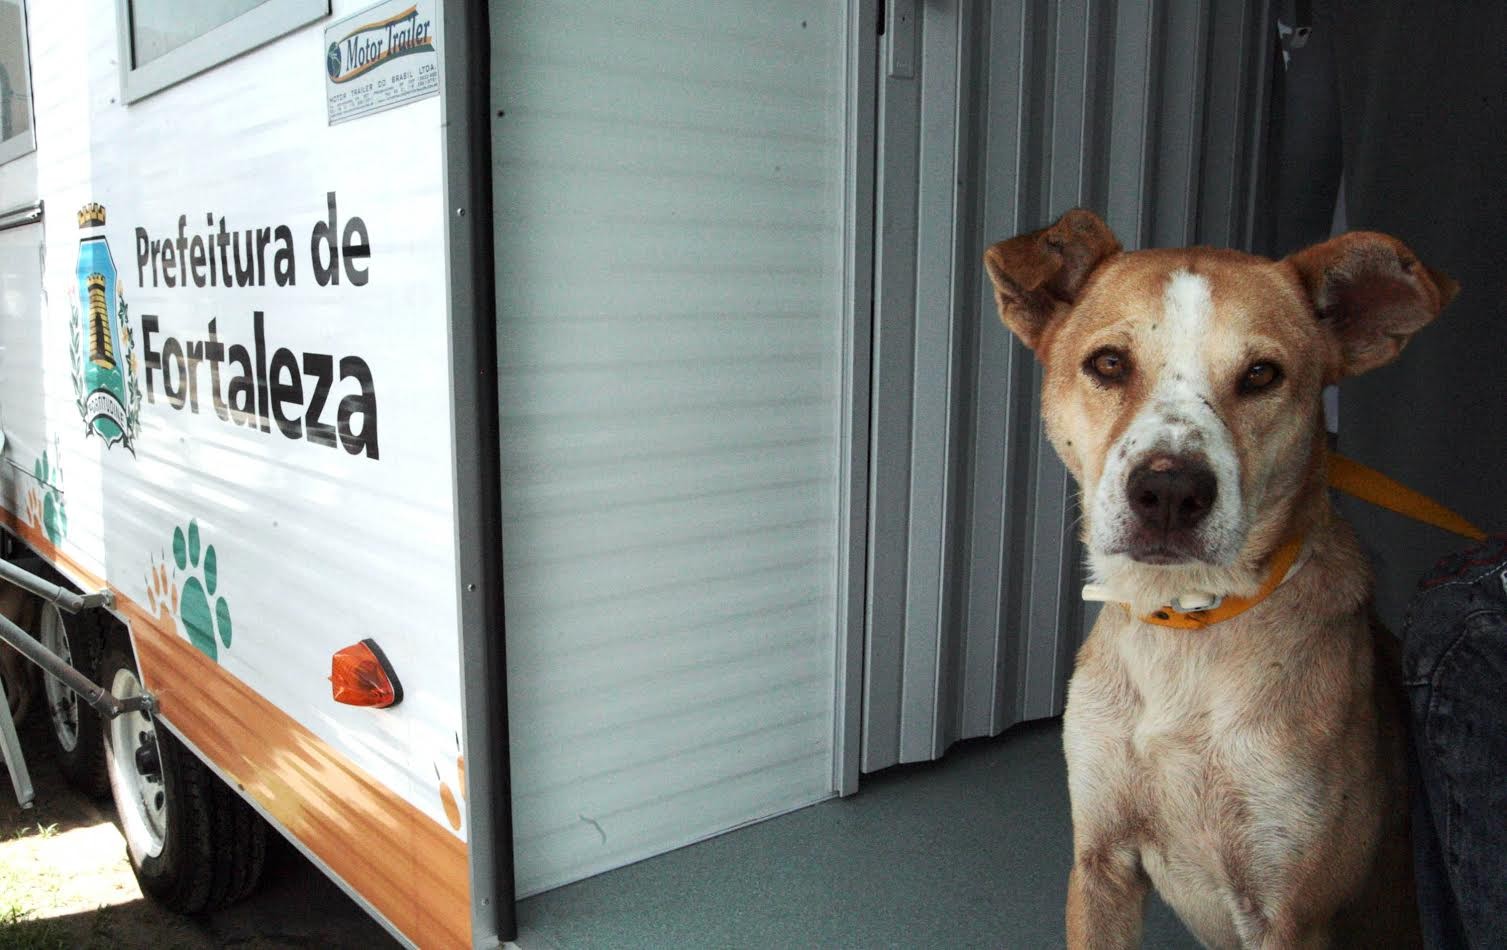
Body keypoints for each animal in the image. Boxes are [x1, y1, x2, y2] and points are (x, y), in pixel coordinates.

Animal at [982, 209, 1452, 950]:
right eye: (1108, 363)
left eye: (1261, 374)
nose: (1169, 493)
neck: (1184, 627)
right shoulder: (1099, 865)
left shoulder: (1290, 914)